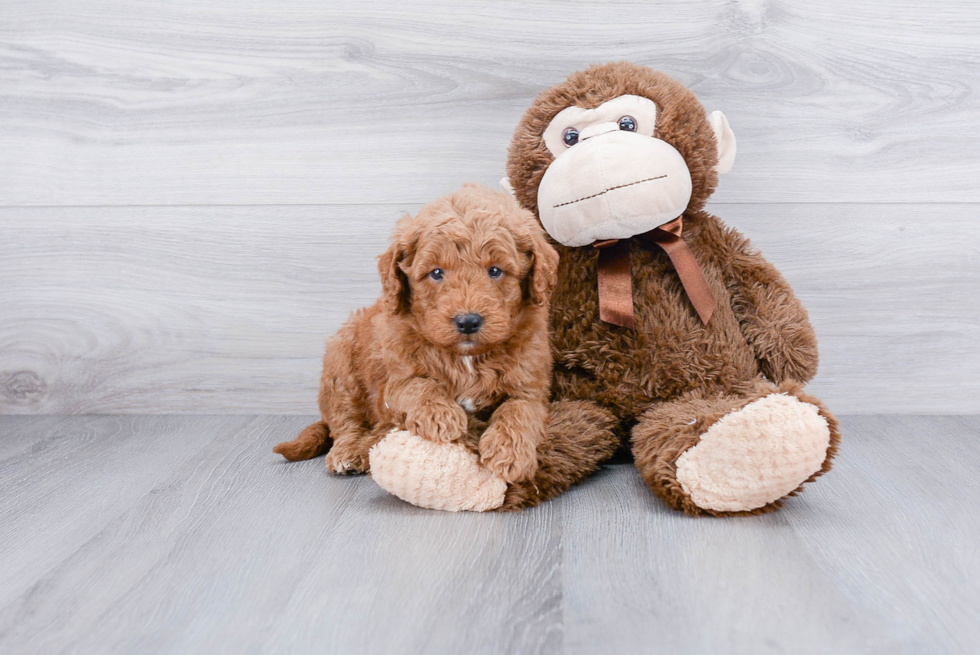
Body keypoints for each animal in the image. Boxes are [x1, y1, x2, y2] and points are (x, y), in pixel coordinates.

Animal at [274, 183, 560, 482]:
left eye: (495, 270)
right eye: (436, 273)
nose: (468, 321)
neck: (466, 358)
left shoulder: (530, 384)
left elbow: (519, 409)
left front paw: (509, 452)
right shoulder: (396, 379)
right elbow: (419, 386)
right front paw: (441, 416)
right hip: (339, 366)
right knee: (345, 421)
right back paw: (350, 450)